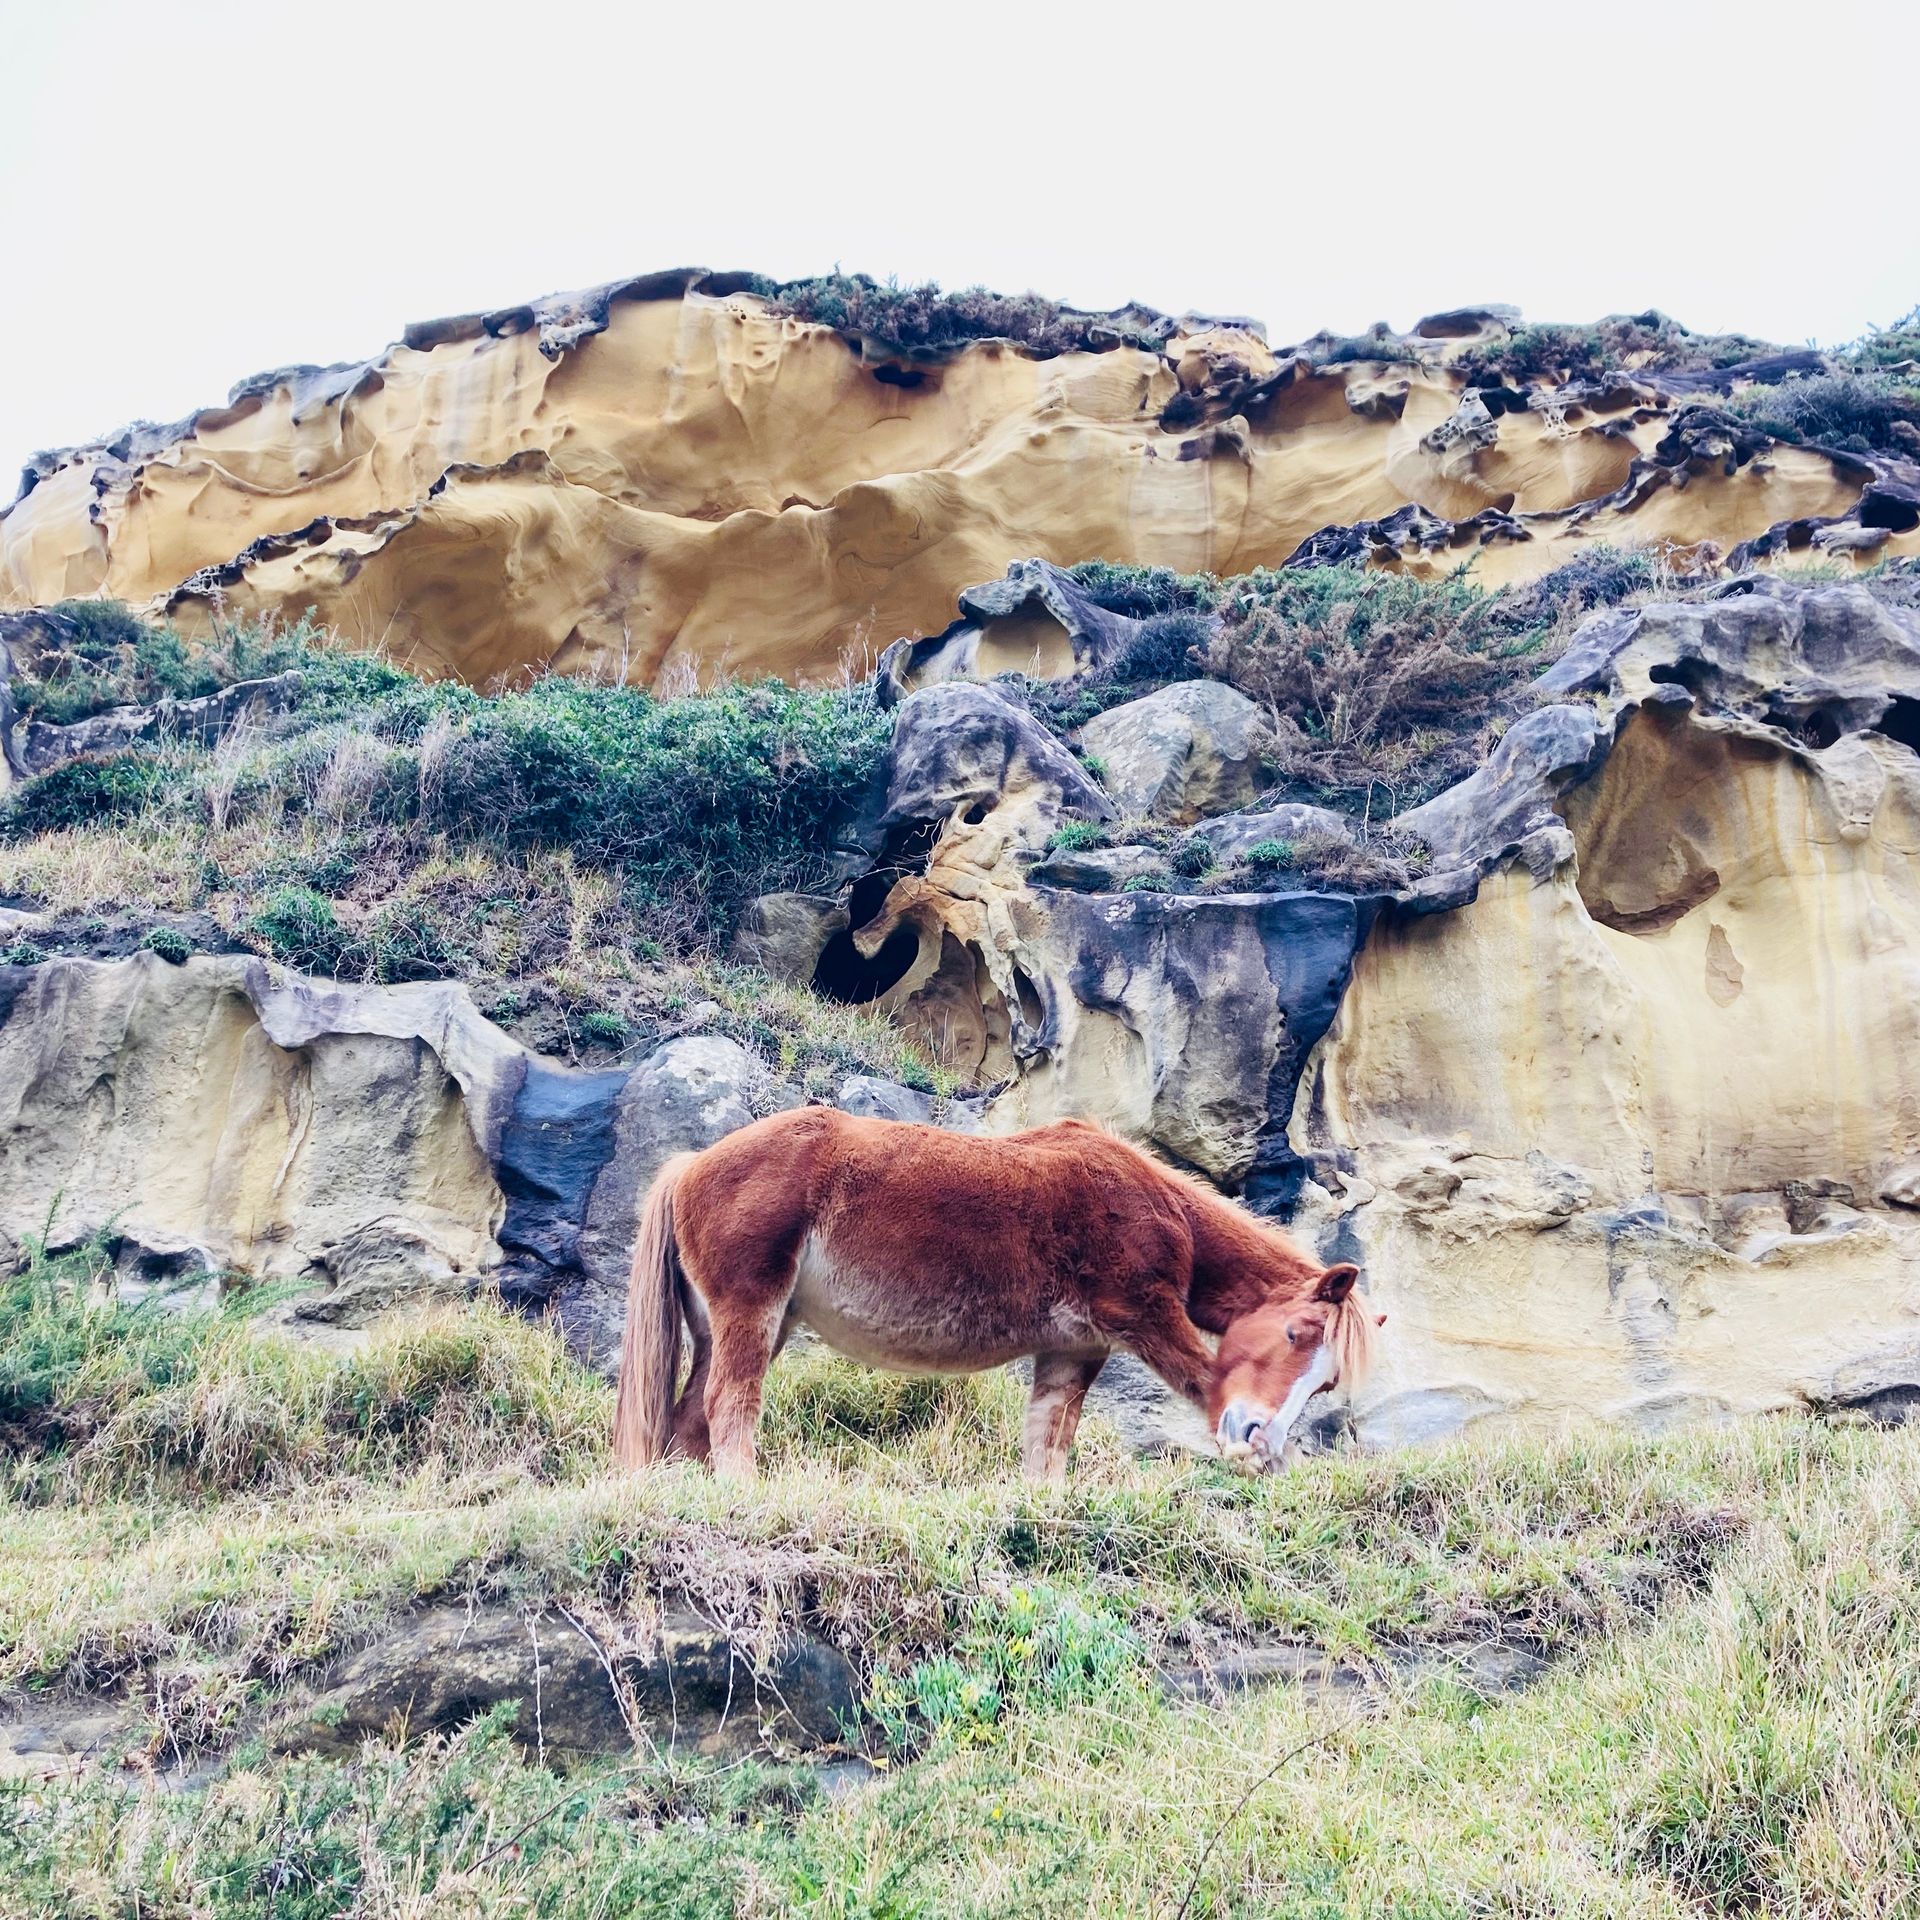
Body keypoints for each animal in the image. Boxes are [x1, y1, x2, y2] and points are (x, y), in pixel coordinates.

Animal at [612, 1107, 1381, 1482]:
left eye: (1324, 1382)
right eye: (1296, 1334)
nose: (1256, 1434)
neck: (1157, 1207)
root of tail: (691, 1166)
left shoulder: (1074, 1352)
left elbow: (1047, 1444)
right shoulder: (1146, 1317)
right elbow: (1204, 1380)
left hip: (747, 1329)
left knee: (689, 1419)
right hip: (753, 1314)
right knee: (728, 1404)